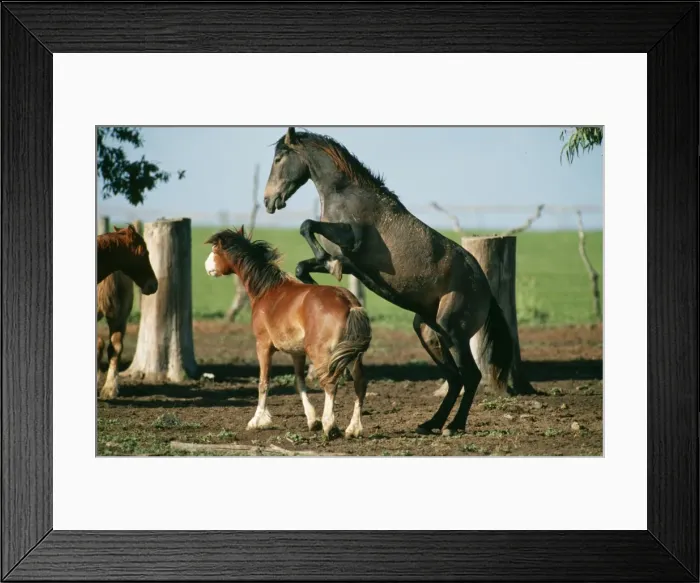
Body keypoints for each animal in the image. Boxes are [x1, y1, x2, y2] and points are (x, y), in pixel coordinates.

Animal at [204, 226, 372, 439]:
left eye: (216, 250)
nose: (207, 267)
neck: (267, 290)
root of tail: (349, 303)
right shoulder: (296, 353)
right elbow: (299, 382)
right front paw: (312, 420)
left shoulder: (263, 346)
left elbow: (263, 382)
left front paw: (257, 421)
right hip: (352, 355)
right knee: (360, 384)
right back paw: (353, 429)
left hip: (322, 354)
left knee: (330, 384)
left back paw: (330, 426)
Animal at [262, 127, 517, 437]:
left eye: (278, 158)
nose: (268, 201)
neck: (346, 194)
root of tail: (485, 290)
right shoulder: (346, 259)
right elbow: (304, 265)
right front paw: (321, 283)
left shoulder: (351, 239)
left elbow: (307, 225)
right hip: (429, 332)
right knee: (454, 378)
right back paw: (430, 424)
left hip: (453, 331)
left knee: (470, 376)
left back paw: (453, 426)